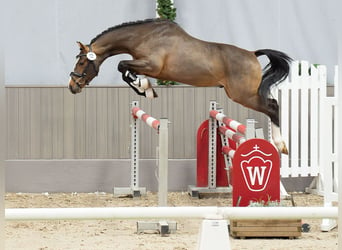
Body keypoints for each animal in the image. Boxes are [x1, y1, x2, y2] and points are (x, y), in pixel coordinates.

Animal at [69, 17, 292, 153]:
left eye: (81, 62)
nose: (73, 86)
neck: (144, 36)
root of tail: (252, 54)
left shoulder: (152, 65)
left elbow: (122, 65)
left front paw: (144, 87)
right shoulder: (143, 65)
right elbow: (125, 70)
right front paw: (144, 88)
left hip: (243, 95)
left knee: (273, 107)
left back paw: (280, 145)